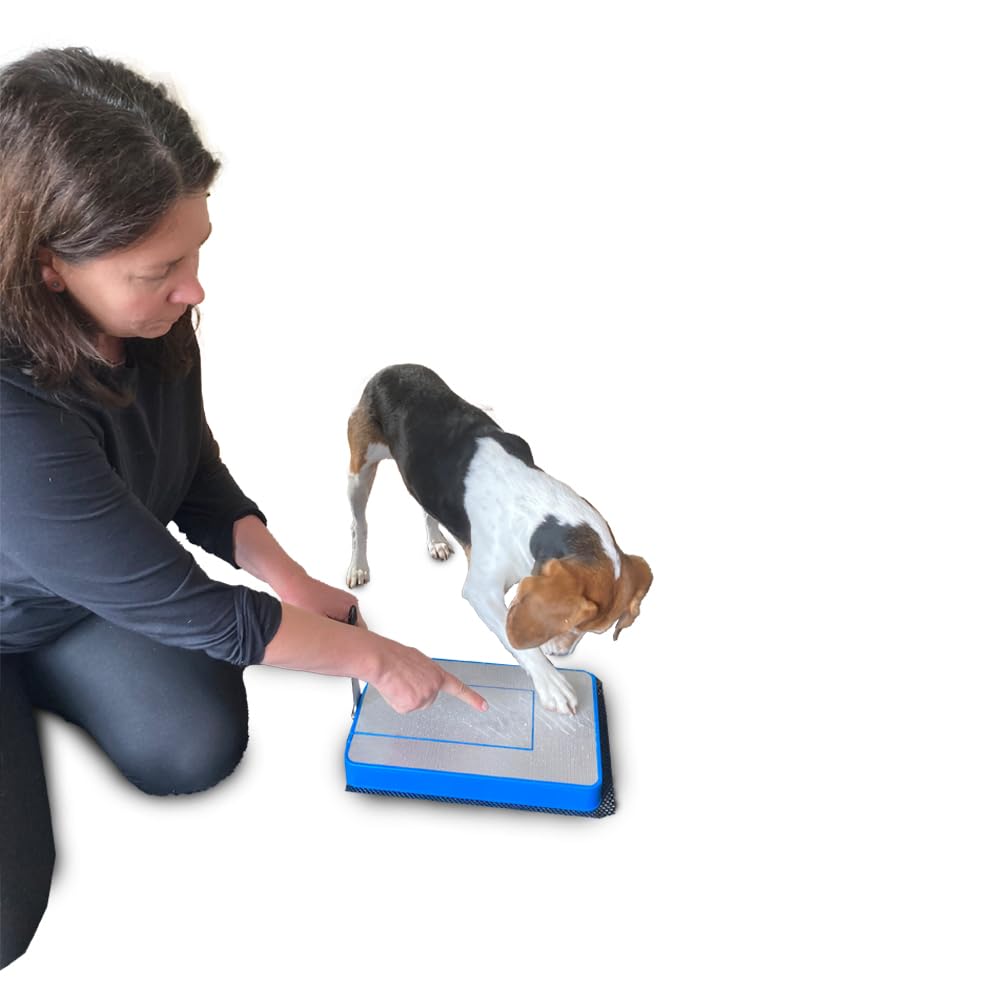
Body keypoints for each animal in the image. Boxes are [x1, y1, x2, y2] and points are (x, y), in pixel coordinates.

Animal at [348, 364, 652, 716]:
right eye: (572, 622)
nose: (561, 652)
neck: (535, 509)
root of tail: (393, 368)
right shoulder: (481, 590)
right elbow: (516, 641)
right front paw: (552, 682)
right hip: (359, 472)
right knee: (359, 525)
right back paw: (358, 566)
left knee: (425, 508)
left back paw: (435, 541)